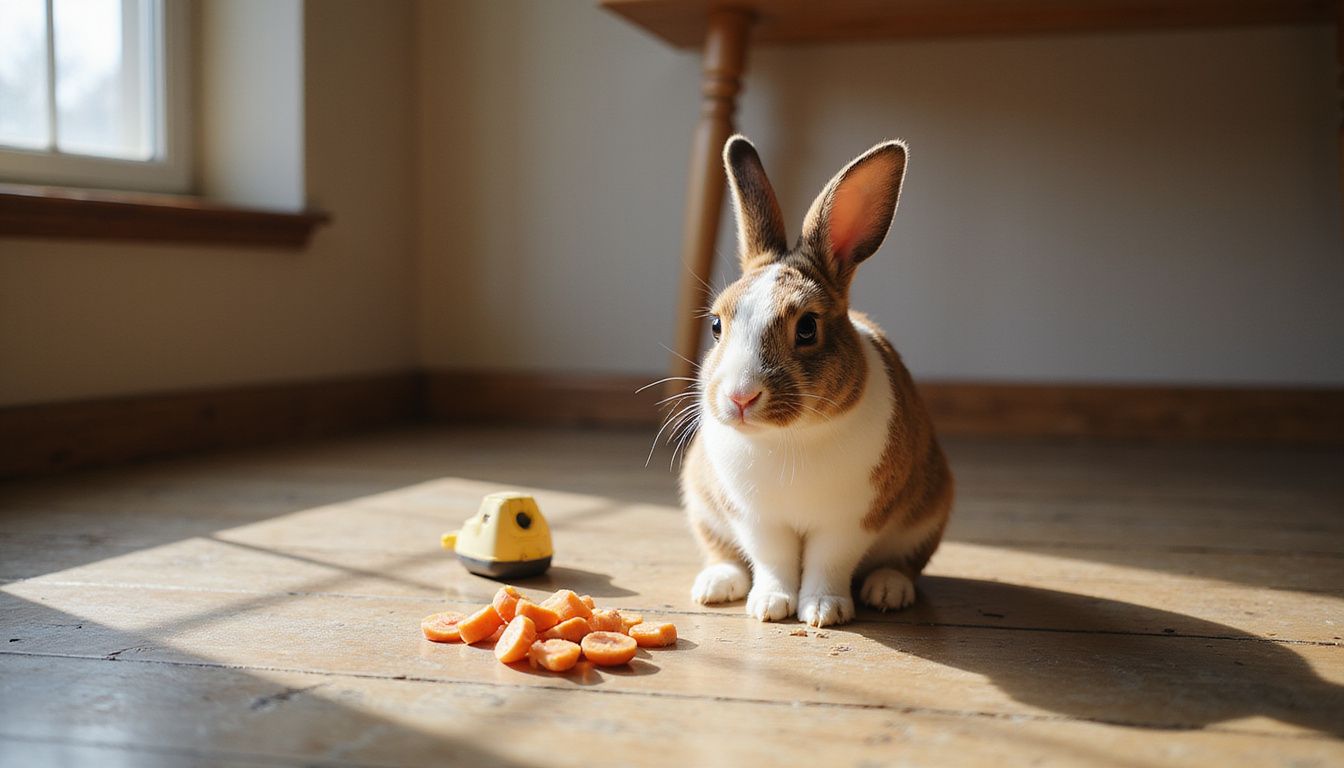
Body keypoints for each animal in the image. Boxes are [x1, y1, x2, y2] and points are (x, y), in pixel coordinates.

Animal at [678, 135, 953, 627]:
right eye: (716, 325)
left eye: (807, 328)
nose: (740, 397)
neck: (789, 437)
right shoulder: (757, 520)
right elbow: (773, 561)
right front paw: (769, 606)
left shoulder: (850, 522)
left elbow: (829, 563)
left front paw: (824, 611)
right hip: (701, 503)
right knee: (723, 553)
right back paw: (716, 586)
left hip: (929, 513)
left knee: (906, 563)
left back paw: (888, 590)